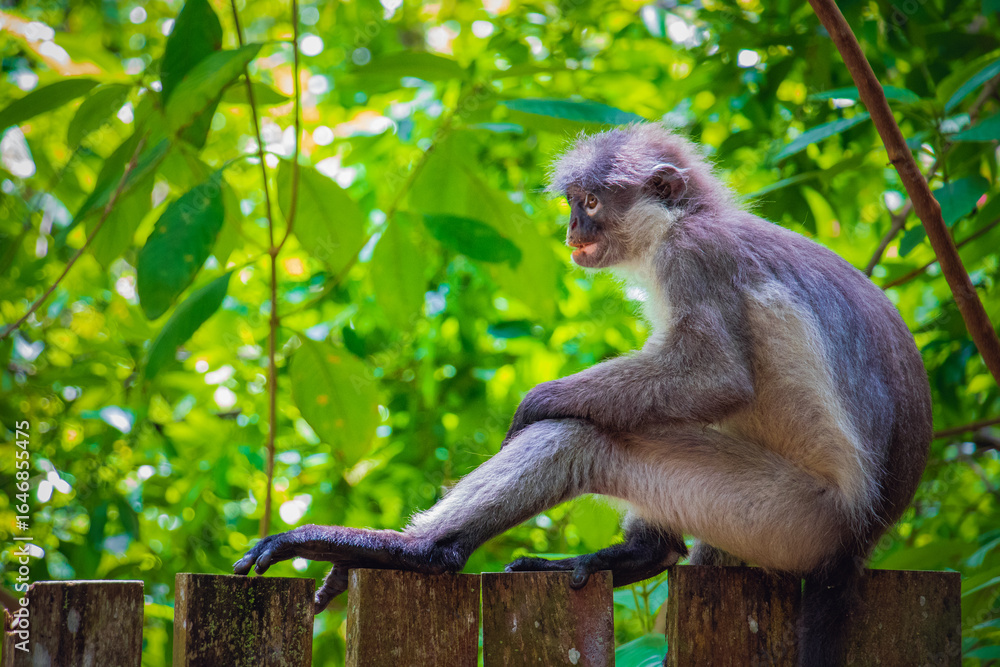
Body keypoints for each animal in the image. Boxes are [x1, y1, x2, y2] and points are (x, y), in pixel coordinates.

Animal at [234, 124, 932, 666]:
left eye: (591, 202)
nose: (573, 232)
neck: (687, 221)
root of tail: (860, 535)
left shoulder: (693, 255)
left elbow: (717, 376)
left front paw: (531, 405)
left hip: (787, 519)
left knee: (585, 433)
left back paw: (420, 551)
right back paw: (640, 553)